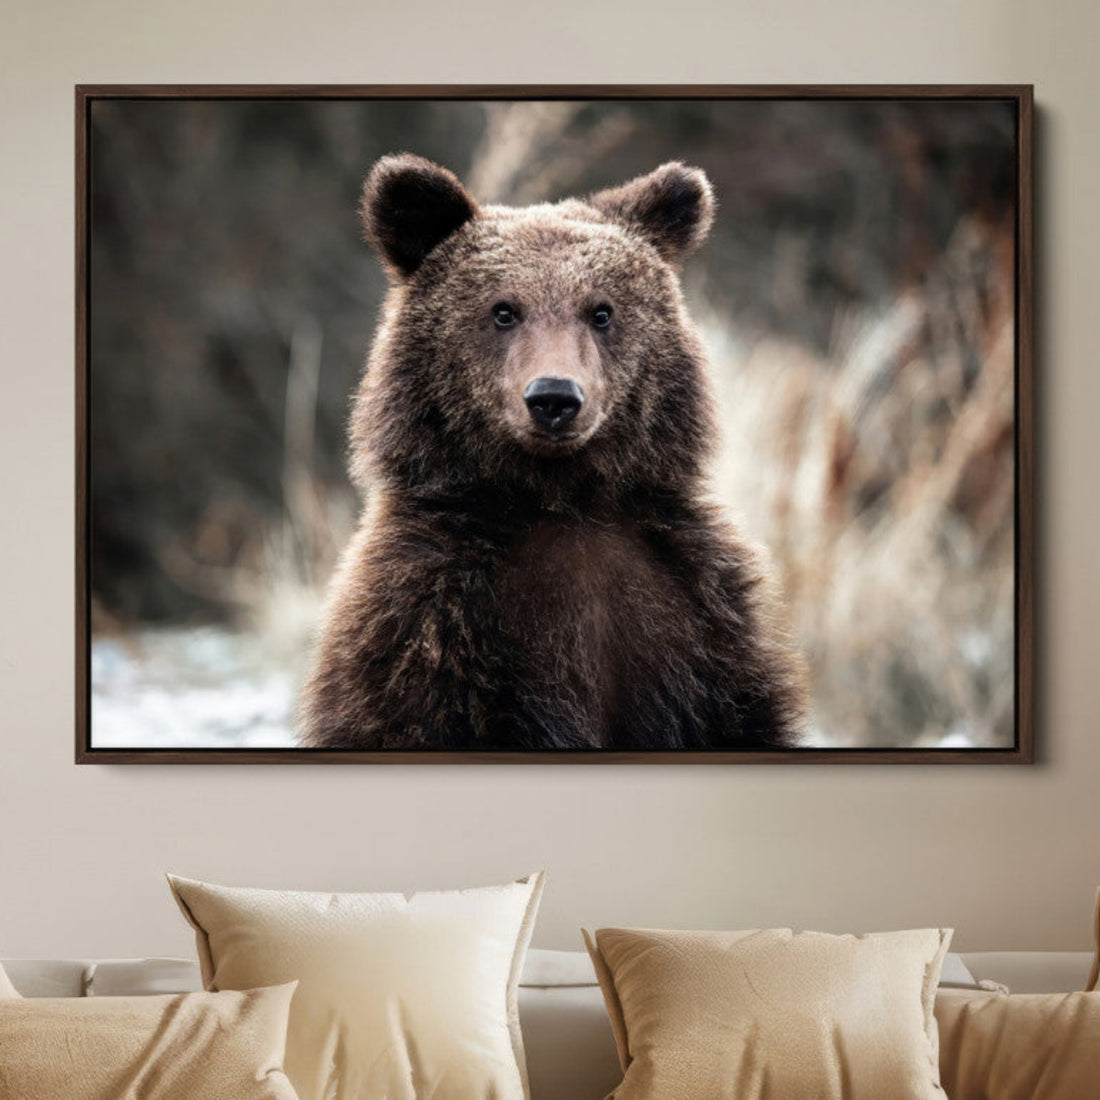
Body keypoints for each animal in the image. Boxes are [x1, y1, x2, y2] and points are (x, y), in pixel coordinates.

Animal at [298, 154, 808, 751]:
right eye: (503, 310)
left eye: (601, 311)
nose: (554, 398)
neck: (561, 500)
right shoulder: (427, 626)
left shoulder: (700, 623)